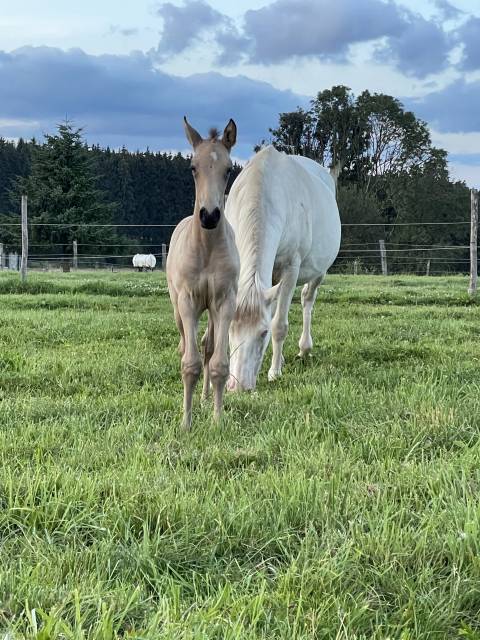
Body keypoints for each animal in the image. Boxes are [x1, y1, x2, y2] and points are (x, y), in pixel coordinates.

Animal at [226, 147, 342, 392]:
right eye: (230, 328)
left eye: (263, 333)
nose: (238, 386)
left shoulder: (290, 269)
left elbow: (279, 325)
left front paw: (274, 372)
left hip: (319, 272)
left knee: (307, 299)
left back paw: (303, 349)